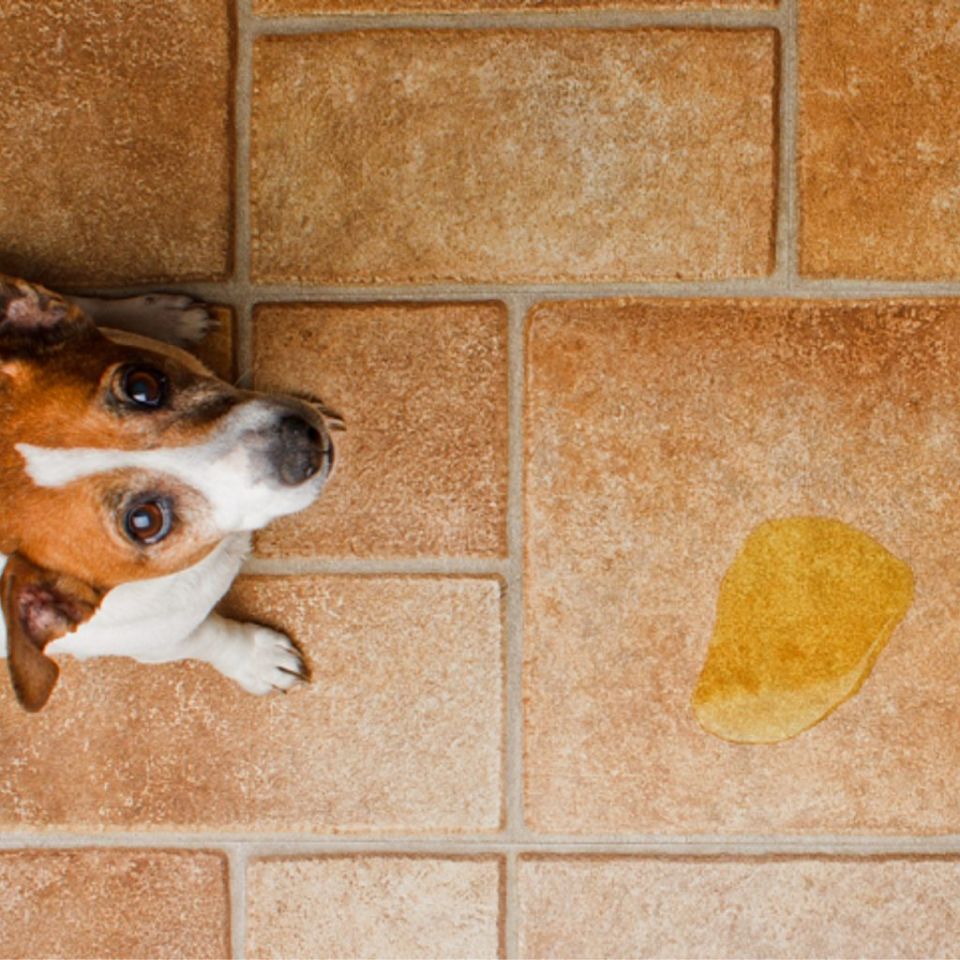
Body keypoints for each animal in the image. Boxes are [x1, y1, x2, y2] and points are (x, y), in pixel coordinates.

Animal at [0, 274, 338, 708]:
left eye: (142, 385)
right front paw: (257, 660)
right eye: (144, 521)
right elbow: (210, 636)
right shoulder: (157, 640)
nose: (302, 445)